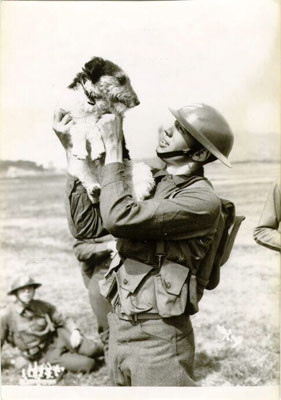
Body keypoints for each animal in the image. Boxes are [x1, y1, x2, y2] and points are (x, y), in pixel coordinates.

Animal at [59, 57, 154, 203]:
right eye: (120, 79)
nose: (137, 102)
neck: (91, 99)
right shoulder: (71, 118)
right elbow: (79, 129)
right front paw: (81, 150)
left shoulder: (102, 117)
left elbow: (94, 130)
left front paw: (97, 150)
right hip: (79, 167)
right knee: (90, 184)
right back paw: (94, 190)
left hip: (141, 170)